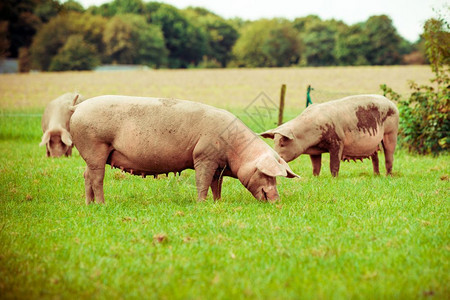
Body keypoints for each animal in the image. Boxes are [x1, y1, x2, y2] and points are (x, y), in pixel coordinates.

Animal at [69, 96, 298, 204]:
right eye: (267, 174)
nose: (277, 201)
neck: (235, 149)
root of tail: (77, 108)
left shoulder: (218, 165)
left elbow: (217, 185)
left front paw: (218, 202)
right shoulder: (204, 156)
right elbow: (203, 181)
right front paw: (201, 204)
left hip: (91, 154)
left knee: (87, 175)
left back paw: (89, 204)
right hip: (95, 145)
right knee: (97, 178)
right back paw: (102, 204)